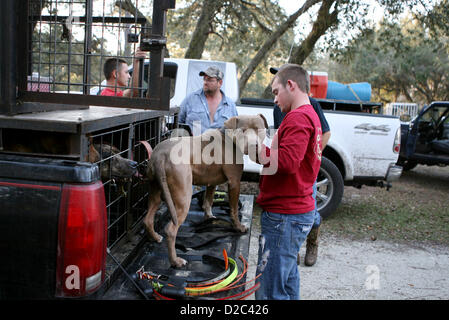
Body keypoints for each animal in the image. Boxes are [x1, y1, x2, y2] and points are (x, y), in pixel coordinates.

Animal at [143, 115, 266, 268]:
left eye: (258, 129)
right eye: (242, 130)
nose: (254, 145)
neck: (229, 138)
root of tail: (160, 155)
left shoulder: (212, 182)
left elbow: (208, 201)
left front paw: (209, 218)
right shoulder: (234, 182)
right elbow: (233, 209)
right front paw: (238, 227)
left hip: (156, 190)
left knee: (148, 219)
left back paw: (155, 237)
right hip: (183, 197)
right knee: (170, 230)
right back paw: (176, 261)